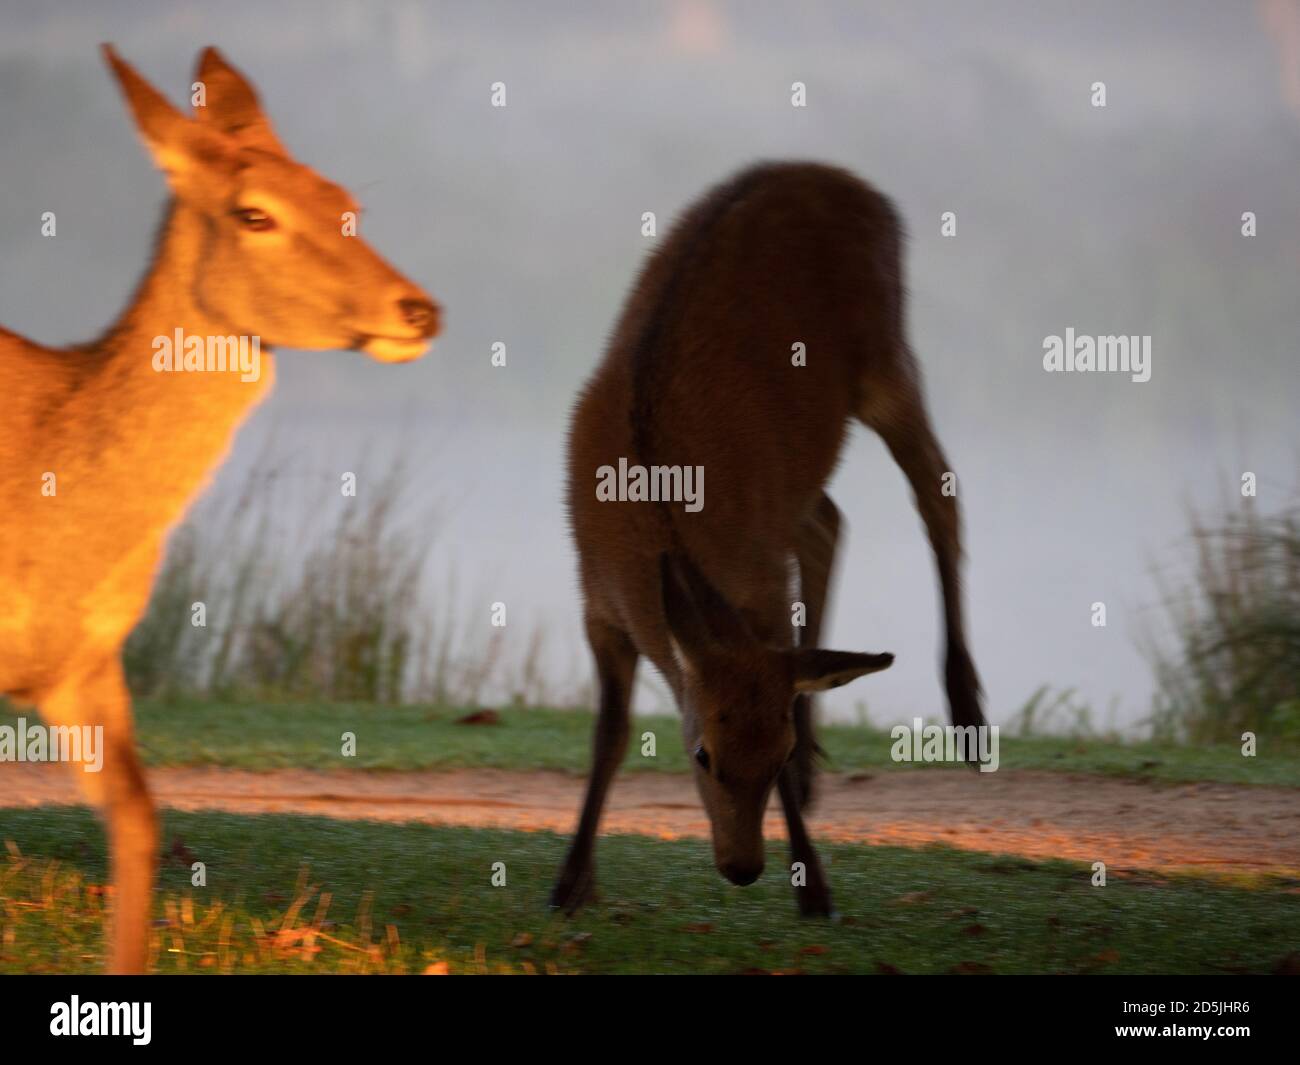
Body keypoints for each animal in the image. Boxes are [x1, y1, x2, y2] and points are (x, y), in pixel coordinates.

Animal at [555, 161, 984, 917]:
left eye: (771, 756)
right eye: (702, 753)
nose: (742, 866)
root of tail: (852, 182)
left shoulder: (759, 580)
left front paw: (814, 881)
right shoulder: (596, 604)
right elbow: (608, 733)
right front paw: (571, 880)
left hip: (887, 354)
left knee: (939, 494)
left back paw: (966, 711)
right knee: (830, 519)